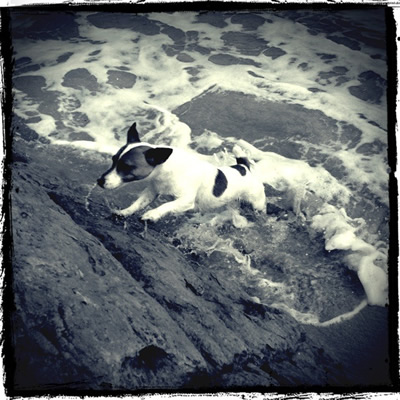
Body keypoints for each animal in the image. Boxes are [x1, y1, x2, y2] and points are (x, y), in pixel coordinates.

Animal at [97, 122, 267, 222]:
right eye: (113, 160)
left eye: (126, 166)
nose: (99, 181)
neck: (166, 170)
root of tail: (244, 168)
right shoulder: (151, 192)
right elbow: (138, 203)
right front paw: (125, 212)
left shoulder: (185, 200)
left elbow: (166, 205)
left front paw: (152, 214)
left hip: (256, 203)